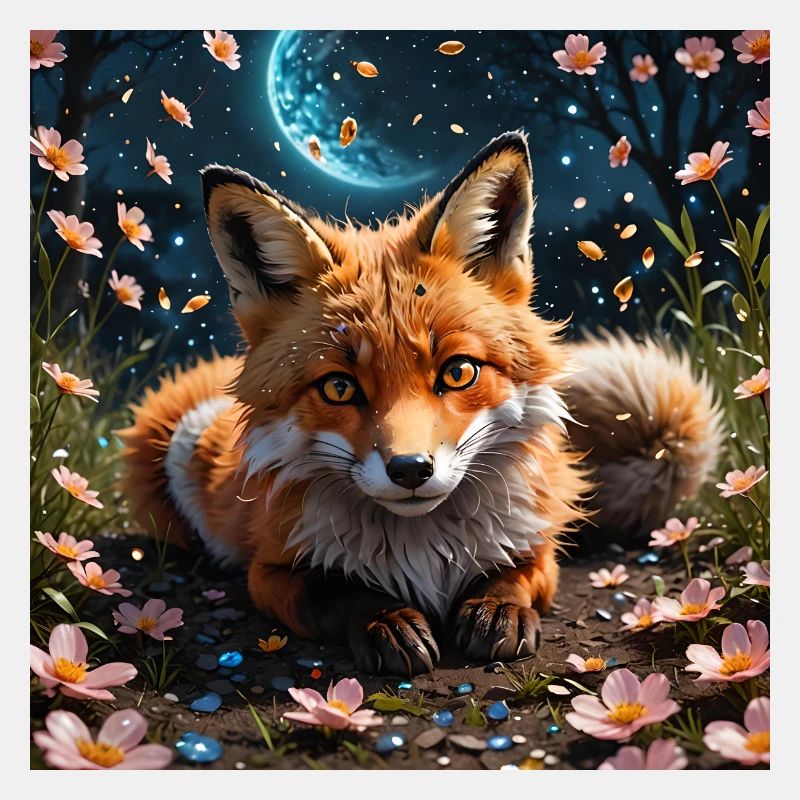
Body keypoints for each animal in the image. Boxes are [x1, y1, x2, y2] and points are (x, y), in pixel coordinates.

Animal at [118, 131, 722, 675]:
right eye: (339, 387)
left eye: (458, 372)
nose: (411, 469)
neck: (423, 547)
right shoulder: (269, 571)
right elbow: (336, 591)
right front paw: (385, 620)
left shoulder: (536, 548)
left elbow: (514, 576)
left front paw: (494, 608)